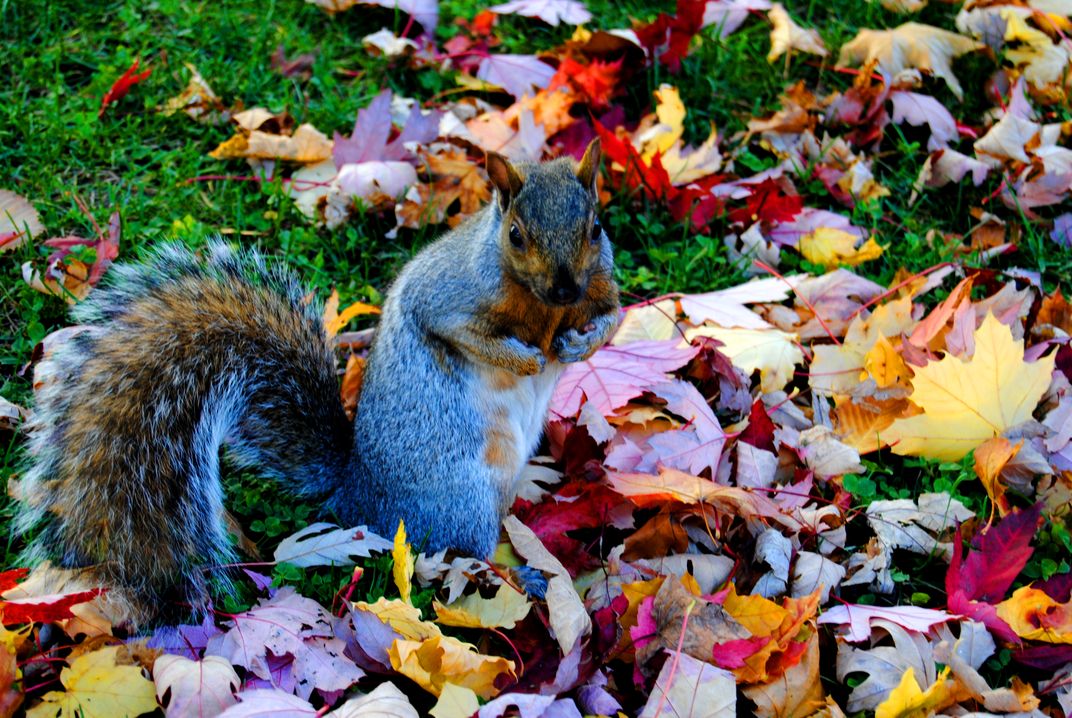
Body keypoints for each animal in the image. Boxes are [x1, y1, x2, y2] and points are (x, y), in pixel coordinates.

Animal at [12, 140, 619, 625]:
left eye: (596, 227)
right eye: (516, 236)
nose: (565, 290)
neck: (541, 309)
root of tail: (358, 496)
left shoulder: (600, 289)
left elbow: (611, 320)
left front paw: (578, 346)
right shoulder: (450, 293)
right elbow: (456, 331)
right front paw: (525, 360)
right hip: (461, 496)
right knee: (460, 555)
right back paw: (524, 577)